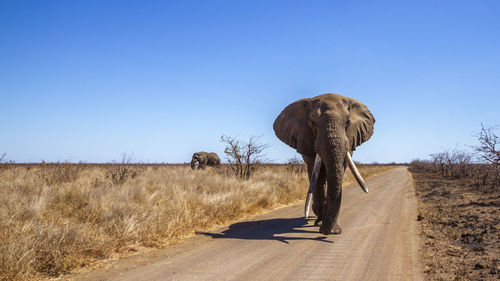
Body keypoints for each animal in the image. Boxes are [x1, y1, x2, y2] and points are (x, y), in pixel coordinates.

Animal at [274, 93, 376, 234]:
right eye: (313, 123)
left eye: (348, 123)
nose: (326, 231)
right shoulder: (306, 140)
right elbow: (316, 174)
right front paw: (324, 225)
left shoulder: (350, 140)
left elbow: (340, 169)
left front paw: (333, 230)